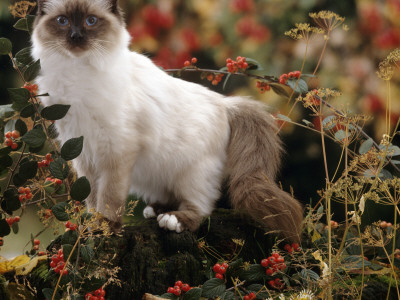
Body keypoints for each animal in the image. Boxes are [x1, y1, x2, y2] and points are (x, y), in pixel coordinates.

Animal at [32, 0, 304, 243]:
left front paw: (104, 227)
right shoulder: (83, 152)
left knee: (200, 208)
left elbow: (108, 198)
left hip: (191, 173)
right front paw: (91, 227)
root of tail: (225, 104)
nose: (76, 36)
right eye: (62, 21)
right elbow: (91, 198)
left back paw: (172, 220)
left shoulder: (116, 152)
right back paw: (155, 210)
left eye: (91, 21)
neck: (77, 73)